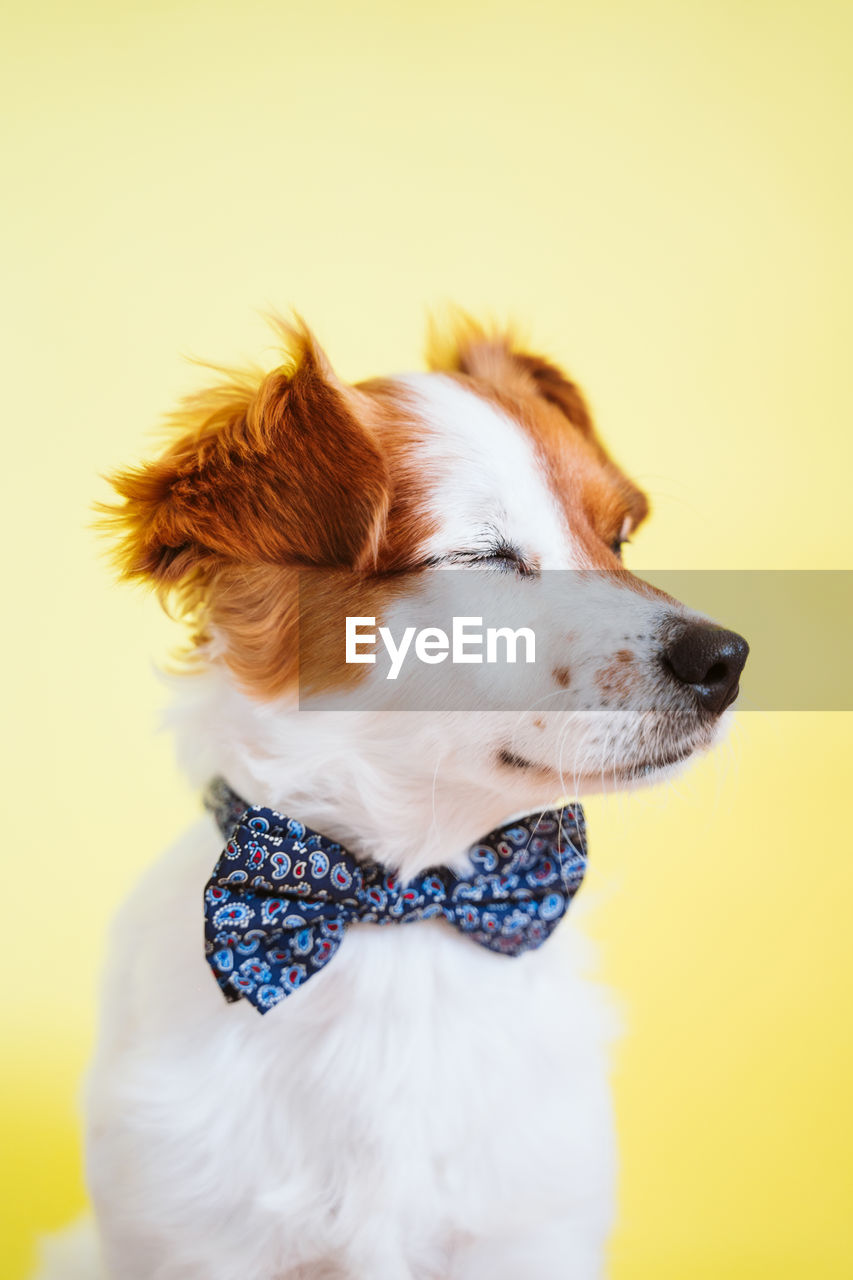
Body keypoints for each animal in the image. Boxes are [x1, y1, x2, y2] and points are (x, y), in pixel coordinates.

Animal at [39, 312, 742, 1280]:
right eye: (484, 556)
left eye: (616, 540)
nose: (726, 661)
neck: (401, 916)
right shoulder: (194, 1238)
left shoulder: (531, 1231)